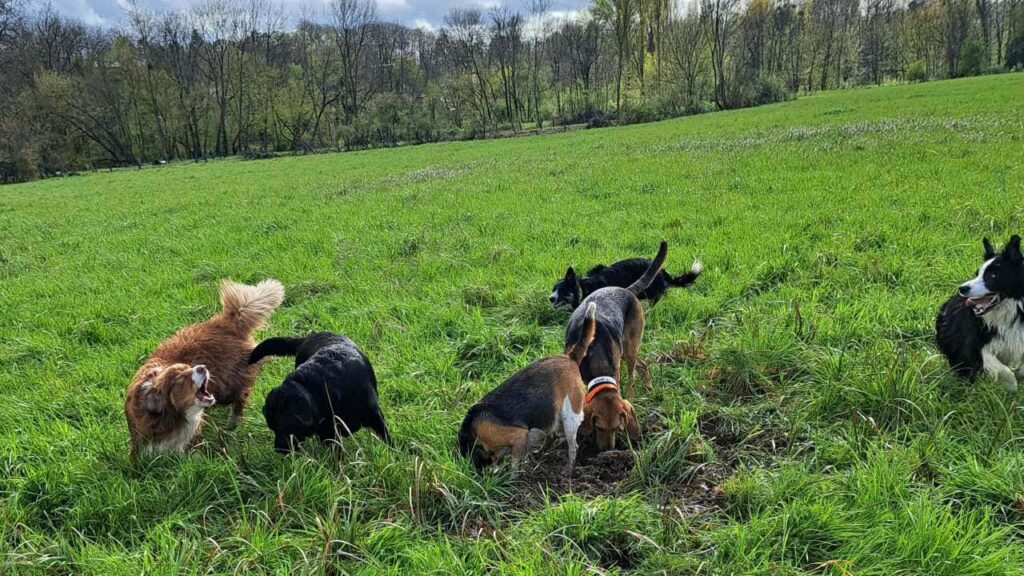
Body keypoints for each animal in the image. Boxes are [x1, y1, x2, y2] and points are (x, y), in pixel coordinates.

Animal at [124, 278, 284, 457]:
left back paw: (232, 424)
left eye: (188, 367)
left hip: (228, 386)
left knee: (241, 398)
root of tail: (225, 321)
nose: (202, 367)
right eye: (180, 378)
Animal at [249, 332, 389, 448]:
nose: (278, 449)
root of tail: (309, 337)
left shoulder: (375, 416)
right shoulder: (329, 435)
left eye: (283, 425)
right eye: (272, 428)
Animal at [552, 254, 704, 309]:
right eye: (553, 289)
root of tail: (662, 271)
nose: (550, 298)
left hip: (648, 290)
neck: (583, 288)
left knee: (656, 298)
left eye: (562, 290)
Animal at [937, 231, 1024, 389]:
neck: (1013, 311)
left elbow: (1021, 370)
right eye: (977, 273)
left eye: (993, 275)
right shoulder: (977, 343)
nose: (962, 288)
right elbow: (1004, 371)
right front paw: (1011, 387)